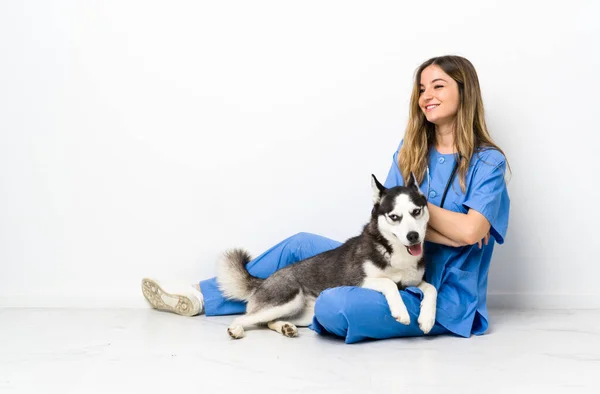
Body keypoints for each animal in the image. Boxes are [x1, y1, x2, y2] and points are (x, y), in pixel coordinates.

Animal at [216, 173, 436, 338]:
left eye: (416, 211)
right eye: (394, 217)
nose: (413, 236)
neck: (394, 252)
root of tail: (265, 280)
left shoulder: (413, 283)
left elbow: (432, 289)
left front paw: (427, 319)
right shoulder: (358, 281)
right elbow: (390, 283)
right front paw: (401, 311)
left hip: (304, 312)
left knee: (268, 321)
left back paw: (285, 327)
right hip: (287, 299)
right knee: (243, 317)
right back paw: (236, 329)